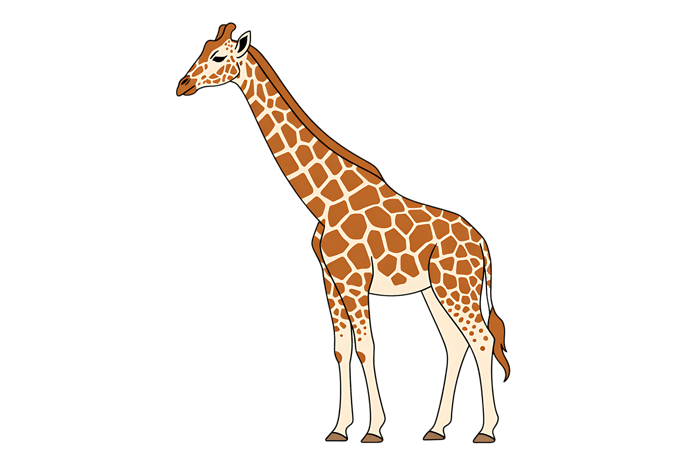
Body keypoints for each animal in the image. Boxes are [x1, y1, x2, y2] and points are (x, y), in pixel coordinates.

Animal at [176, 22, 511, 444]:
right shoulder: (330, 279)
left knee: (482, 340)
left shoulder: (354, 280)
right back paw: (436, 429)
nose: (183, 84)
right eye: (204, 49)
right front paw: (339, 428)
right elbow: (341, 348)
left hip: (457, 287)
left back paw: (486, 430)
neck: (324, 201)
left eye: (219, 56)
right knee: (455, 343)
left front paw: (374, 430)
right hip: (435, 291)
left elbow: (366, 347)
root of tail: (482, 243)